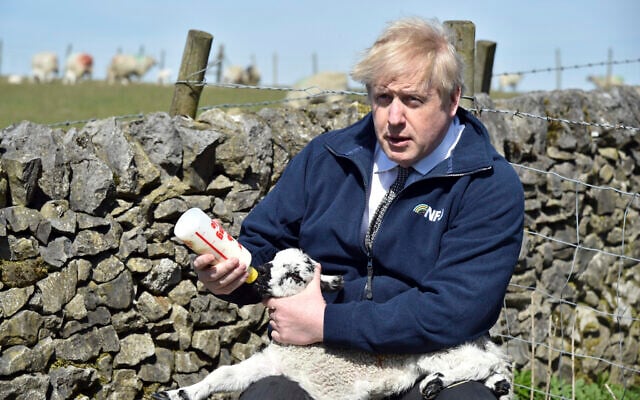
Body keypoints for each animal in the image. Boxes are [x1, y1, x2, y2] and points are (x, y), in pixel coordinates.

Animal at [152, 248, 513, 400]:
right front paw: (177, 393)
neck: (304, 354)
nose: (262, 274)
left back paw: (435, 383)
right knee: (494, 366)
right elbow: (225, 374)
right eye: (273, 259)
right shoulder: (273, 362)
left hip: (439, 348)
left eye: (295, 274)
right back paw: (497, 385)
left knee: (480, 363)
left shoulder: (333, 390)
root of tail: (477, 334)